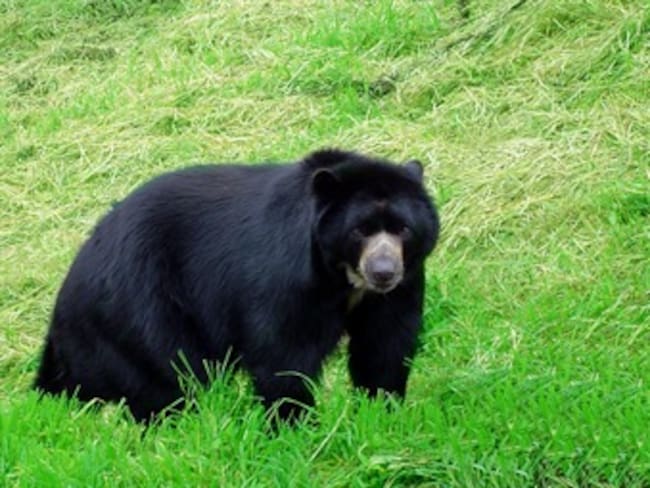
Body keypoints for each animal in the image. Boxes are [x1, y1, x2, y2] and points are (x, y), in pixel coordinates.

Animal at [34, 149, 440, 422]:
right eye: (360, 231)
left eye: (403, 229)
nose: (383, 271)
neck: (342, 275)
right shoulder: (287, 278)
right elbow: (284, 351)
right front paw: (294, 425)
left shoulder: (401, 286)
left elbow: (384, 346)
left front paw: (382, 412)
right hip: (137, 307)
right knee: (168, 371)